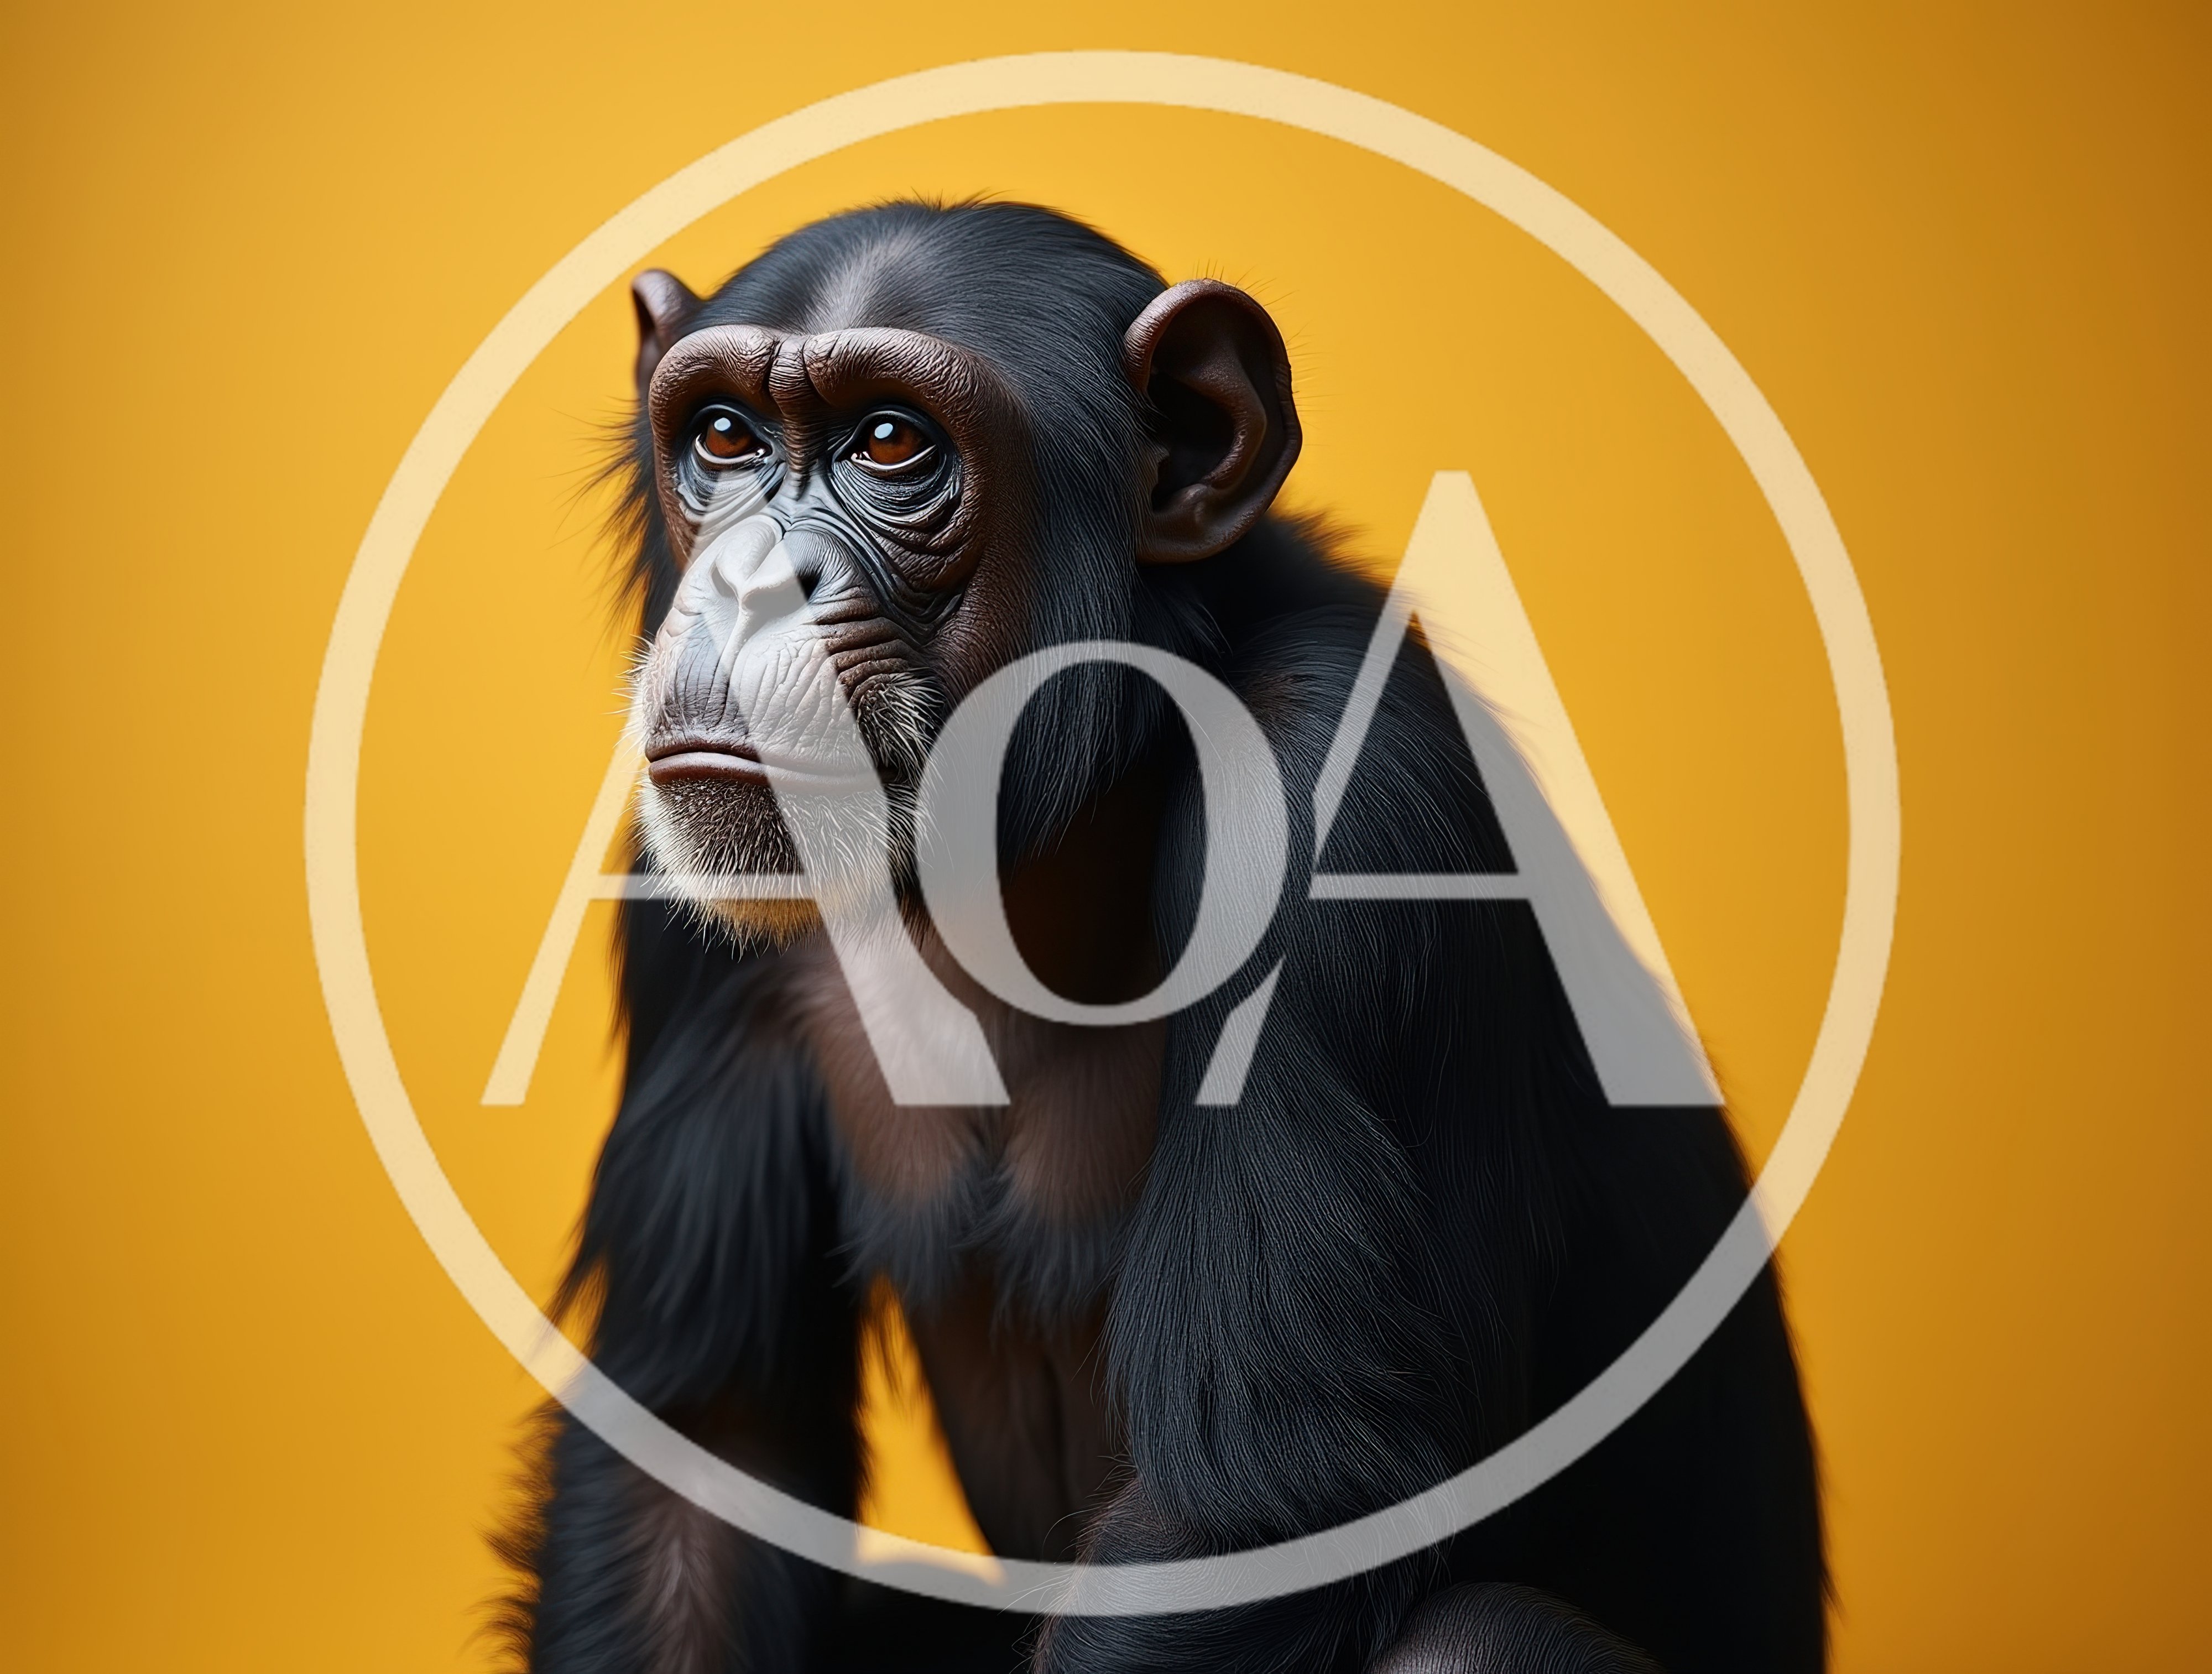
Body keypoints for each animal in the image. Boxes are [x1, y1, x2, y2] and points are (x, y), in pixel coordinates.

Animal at [496, 200, 1824, 1674]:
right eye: (724, 437)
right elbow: (704, 1451)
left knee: (1472, 1632)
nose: (747, 584)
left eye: (890, 444)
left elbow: (1246, 1503)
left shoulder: (1338, 802)